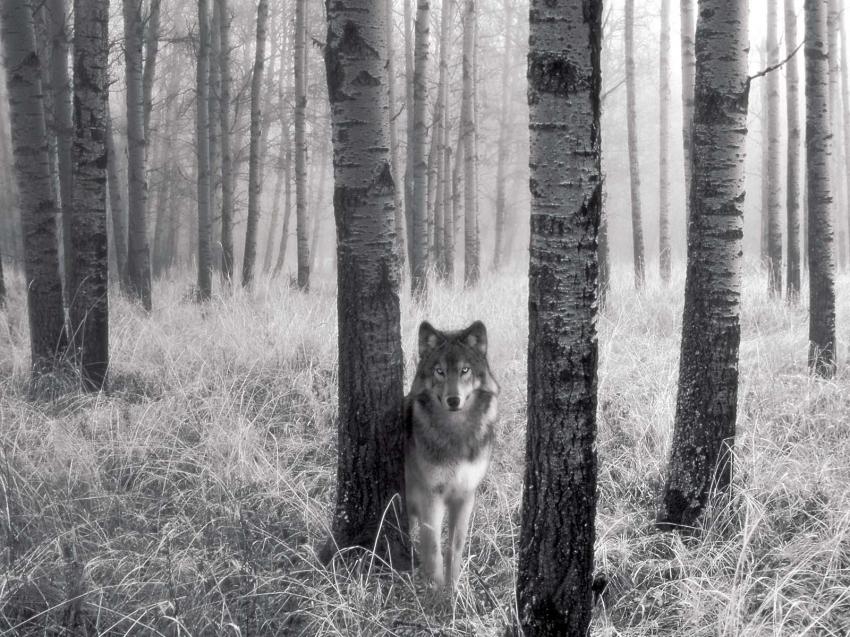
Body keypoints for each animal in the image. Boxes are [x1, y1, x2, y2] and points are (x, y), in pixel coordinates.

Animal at [405, 320, 499, 589]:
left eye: (465, 370)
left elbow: (455, 548)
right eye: (439, 371)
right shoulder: (431, 496)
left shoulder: (465, 495)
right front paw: (436, 592)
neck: (456, 434)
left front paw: (453, 589)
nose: (453, 400)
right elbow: (434, 549)